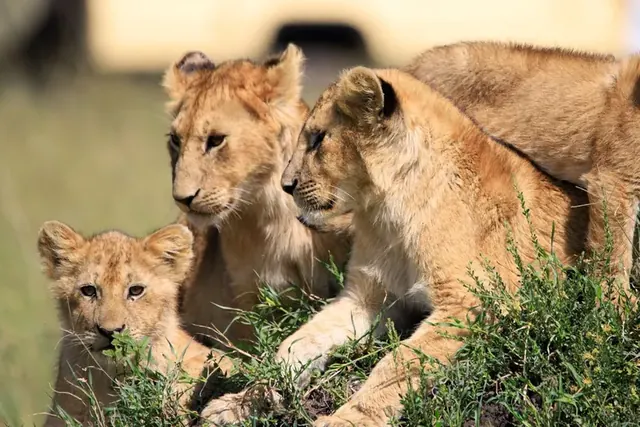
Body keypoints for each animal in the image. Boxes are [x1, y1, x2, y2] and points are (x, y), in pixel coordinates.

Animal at [200, 66, 592, 426]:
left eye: (318, 139)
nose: (286, 185)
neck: (387, 214)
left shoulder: (474, 301)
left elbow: (397, 365)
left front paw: (346, 420)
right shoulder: (367, 298)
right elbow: (299, 342)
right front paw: (243, 402)